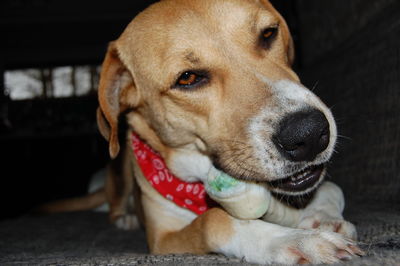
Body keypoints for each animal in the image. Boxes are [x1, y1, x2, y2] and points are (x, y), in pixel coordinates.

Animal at [56, 0, 366, 264]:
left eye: (268, 33)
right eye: (188, 78)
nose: (309, 134)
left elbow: (331, 189)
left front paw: (322, 218)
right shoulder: (163, 239)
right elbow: (213, 220)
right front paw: (295, 241)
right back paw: (126, 218)